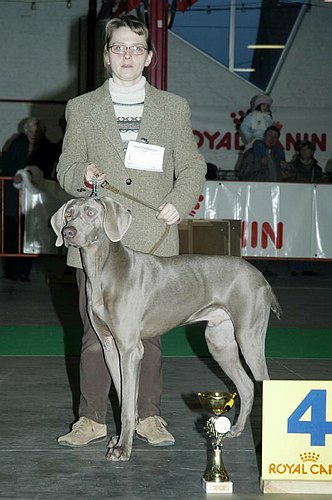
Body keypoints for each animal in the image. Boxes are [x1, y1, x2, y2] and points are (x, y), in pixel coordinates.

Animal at [50, 195, 282, 460]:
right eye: (68, 214)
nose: (68, 232)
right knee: (246, 386)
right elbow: (123, 396)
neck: (102, 270)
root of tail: (259, 275)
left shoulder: (130, 349)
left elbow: (127, 405)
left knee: (263, 383)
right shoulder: (110, 347)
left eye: (90, 213)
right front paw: (120, 439)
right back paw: (235, 430)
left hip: (248, 337)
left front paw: (123, 449)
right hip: (219, 343)